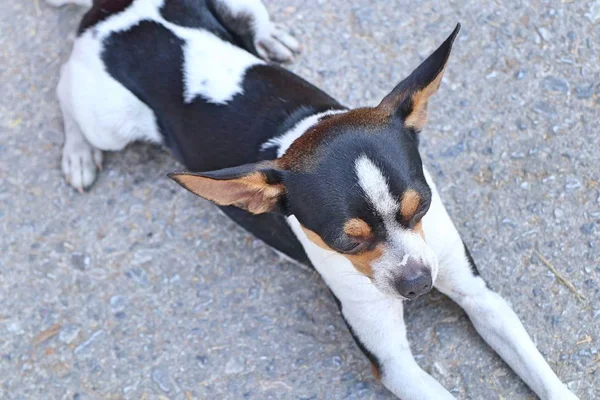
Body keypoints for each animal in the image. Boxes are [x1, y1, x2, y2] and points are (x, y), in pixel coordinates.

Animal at [44, 0, 580, 396]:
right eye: (347, 243)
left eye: (422, 207)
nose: (418, 285)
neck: (304, 130)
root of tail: (108, 10)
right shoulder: (395, 363)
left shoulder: (480, 296)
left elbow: (541, 372)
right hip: (107, 120)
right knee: (64, 93)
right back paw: (77, 153)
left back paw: (269, 37)